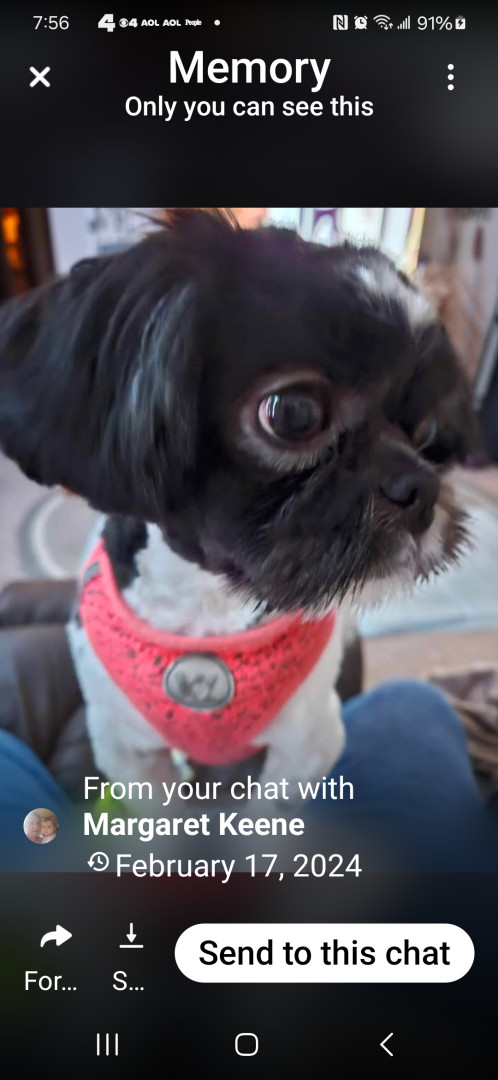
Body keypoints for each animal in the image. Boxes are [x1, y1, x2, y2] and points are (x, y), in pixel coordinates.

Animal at [0, 209, 474, 790]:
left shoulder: (307, 746)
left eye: (427, 433)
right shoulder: (129, 751)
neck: (210, 610)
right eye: (292, 412)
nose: (420, 487)